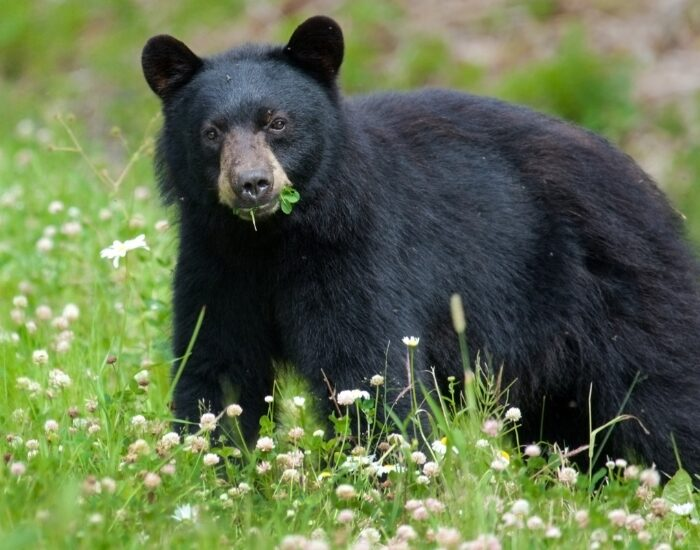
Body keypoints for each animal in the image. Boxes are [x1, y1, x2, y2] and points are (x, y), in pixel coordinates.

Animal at [142, 15, 700, 475]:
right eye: (212, 132)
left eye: (277, 122)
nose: (252, 184)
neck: (273, 239)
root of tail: (655, 195)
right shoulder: (216, 259)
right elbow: (217, 363)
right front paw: (209, 473)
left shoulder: (358, 251)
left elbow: (367, 369)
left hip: (621, 294)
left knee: (663, 396)